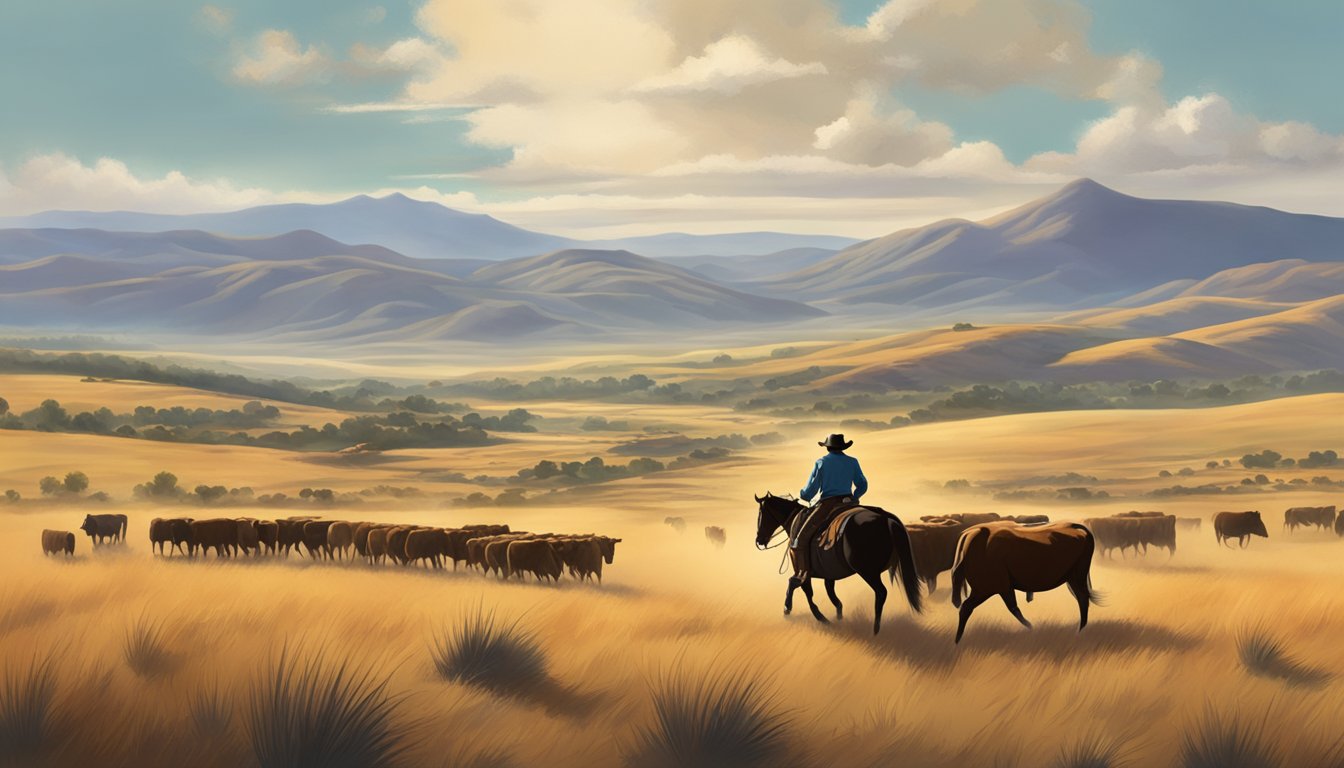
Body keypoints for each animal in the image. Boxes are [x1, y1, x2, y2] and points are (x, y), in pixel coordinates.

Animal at [752, 492, 919, 637]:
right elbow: (833, 596)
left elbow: (800, 588)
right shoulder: (828, 574)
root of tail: (886, 519)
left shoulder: (802, 571)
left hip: (868, 572)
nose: (759, 540)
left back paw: (875, 630)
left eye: (761, 514)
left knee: (881, 593)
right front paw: (839, 617)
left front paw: (796, 610)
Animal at [951, 521, 1096, 642]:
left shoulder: (991, 588)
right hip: (1073, 578)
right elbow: (1013, 608)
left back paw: (1080, 631)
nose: (954, 600)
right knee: (1082, 598)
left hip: (1078, 576)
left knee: (1083, 598)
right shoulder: (1000, 588)